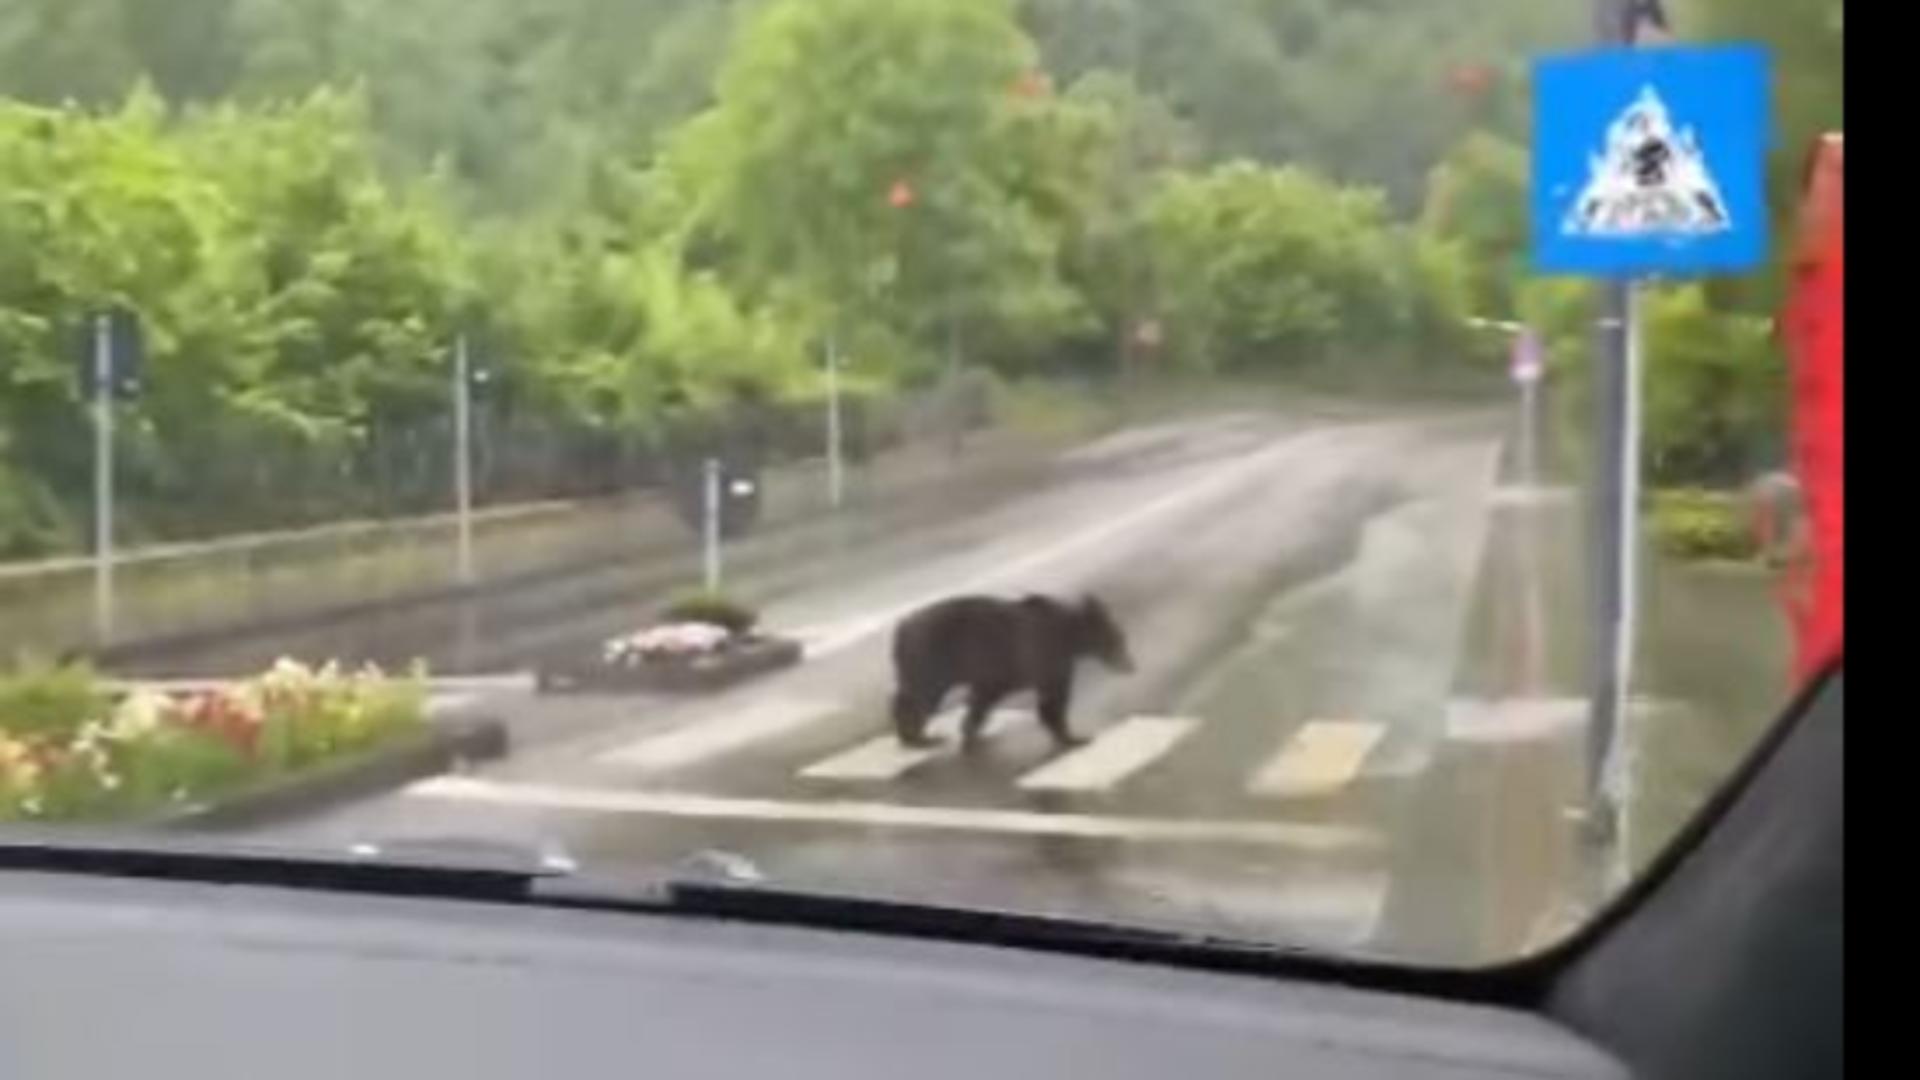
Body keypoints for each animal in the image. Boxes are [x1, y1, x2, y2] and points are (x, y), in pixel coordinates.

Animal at [887, 588, 1128, 749]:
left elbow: (982, 698)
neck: (1071, 637)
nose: (1131, 664)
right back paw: (920, 737)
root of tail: (901, 628)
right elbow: (1053, 699)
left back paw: (910, 734)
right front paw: (1073, 737)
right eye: (1119, 639)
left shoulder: (994, 674)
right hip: (931, 660)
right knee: (920, 696)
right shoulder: (1048, 658)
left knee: (908, 694)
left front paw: (970, 731)